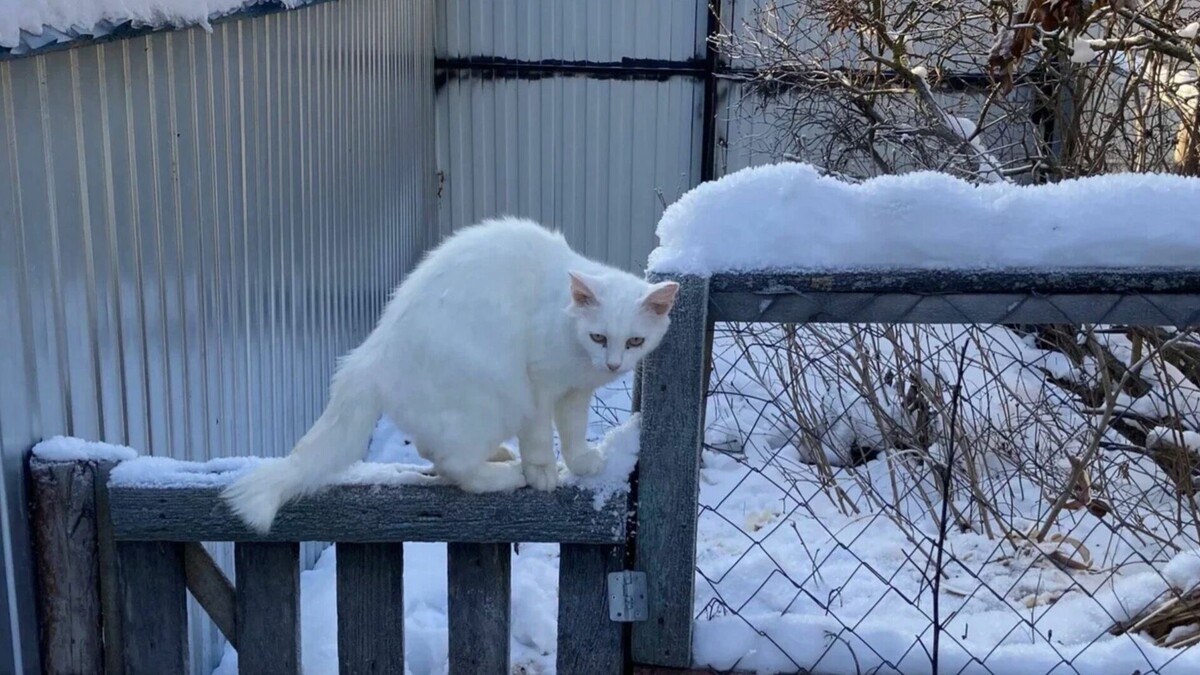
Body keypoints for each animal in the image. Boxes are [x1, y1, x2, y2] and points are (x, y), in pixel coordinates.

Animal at [220, 214, 681, 530]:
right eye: (599, 337)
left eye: (634, 342)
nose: (614, 364)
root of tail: (369, 356)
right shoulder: (539, 386)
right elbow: (539, 436)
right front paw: (543, 473)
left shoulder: (574, 393)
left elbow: (572, 431)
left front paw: (581, 462)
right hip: (495, 398)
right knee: (459, 469)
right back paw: (509, 474)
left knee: (437, 454)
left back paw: (498, 457)